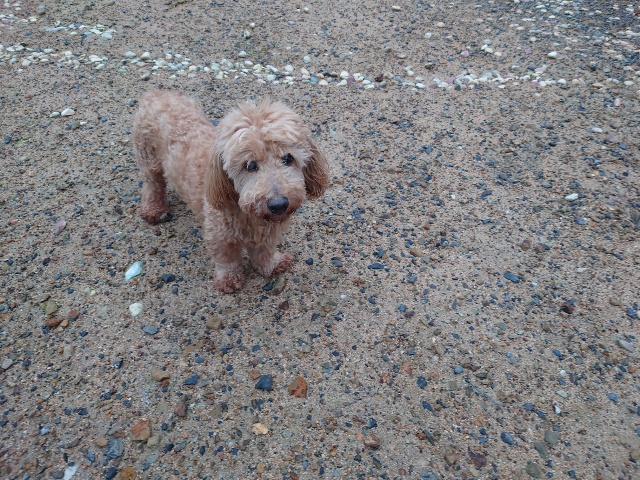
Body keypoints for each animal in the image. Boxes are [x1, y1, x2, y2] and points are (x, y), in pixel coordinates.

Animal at [132, 90, 328, 292]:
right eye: (250, 165)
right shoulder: (219, 236)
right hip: (148, 158)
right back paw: (153, 210)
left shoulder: (267, 233)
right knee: (152, 185)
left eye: (288, 158)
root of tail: (156, 93)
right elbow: (226, 260)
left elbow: (264, 251)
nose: (278, 204)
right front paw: (229, 279)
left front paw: (271, 265)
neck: (248, 214)